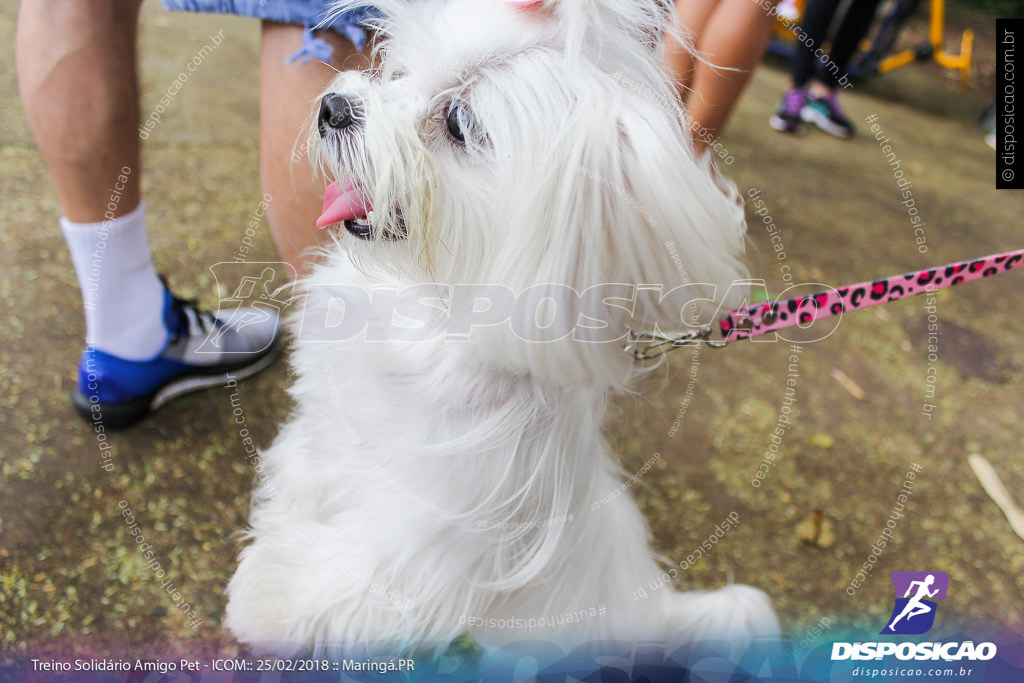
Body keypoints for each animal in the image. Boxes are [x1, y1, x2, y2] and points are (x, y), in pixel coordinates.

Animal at [228, 0, 778, 655]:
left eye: (460, 122)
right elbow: (306, 471)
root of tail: (657, 613)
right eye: (400, 72)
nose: (333, 106)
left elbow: (353, 577)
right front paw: (280, 515)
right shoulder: (331, 435)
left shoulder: (430, 535)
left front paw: (268, 595)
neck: (436, 311)